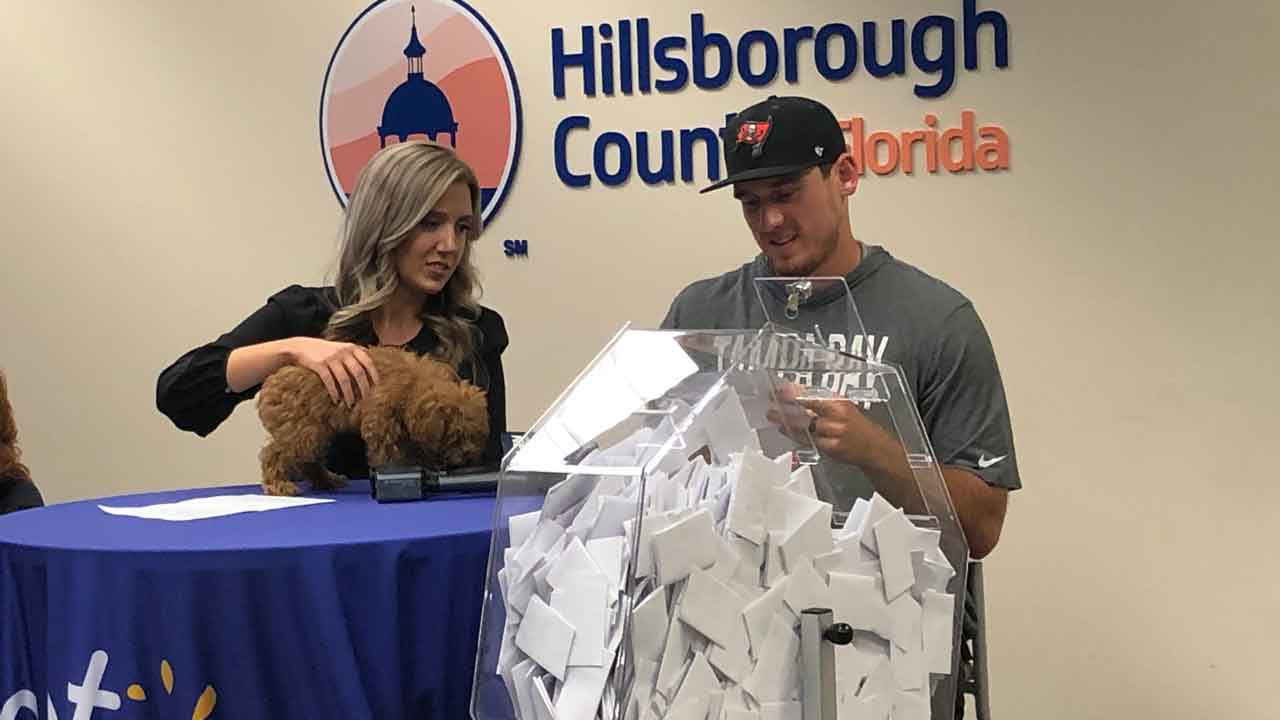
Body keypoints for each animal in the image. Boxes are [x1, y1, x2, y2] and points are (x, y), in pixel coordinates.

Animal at [256, 343, 488, 489]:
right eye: (456, 436)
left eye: (476, 436)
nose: (469, 457)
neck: (413, 384)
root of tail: (269, 385)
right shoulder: (381, 425)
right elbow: (389, 455)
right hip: (301, 431)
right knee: (274, 454)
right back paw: (278, 485)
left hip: (314, 431)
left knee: (307, 461)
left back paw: (327, 481)